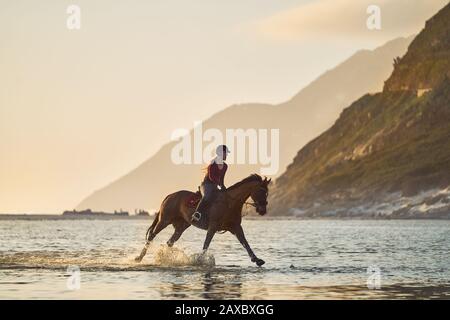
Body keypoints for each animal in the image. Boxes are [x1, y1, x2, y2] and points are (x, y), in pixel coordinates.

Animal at [134, 174, 270, 266]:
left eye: (267, 192)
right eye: (261, 191)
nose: (263, 210)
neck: (230, 203)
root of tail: (170, 196)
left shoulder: (236, 227)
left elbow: (245, 243)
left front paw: (257, 260)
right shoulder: (213, 227)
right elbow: (206, 244)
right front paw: (199, 260)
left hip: (181, 226)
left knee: (170, 242)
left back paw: (166, 257)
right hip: (164, 220)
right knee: (151, 236)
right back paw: (139, 258)